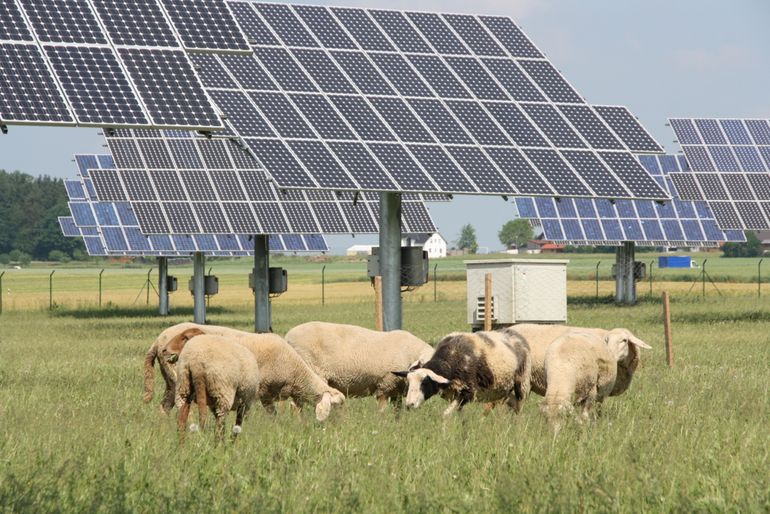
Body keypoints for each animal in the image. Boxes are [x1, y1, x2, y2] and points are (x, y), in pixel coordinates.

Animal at [282, 318, 432, 410]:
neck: (411, 353)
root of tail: (287, 338)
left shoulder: (396, 390)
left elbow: (397, 411)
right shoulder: (384, 385)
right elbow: (382, 410)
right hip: (307, 373)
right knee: (296, 405)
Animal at [392, 328, 532, 416]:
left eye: (425, 383)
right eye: (409, 382)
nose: (409, 404)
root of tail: (516, 335)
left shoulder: (468, 393)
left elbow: (445, 415)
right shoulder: (455, 395)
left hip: (522, 383)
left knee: (520, 407)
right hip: (504, 390)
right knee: (512, 406)